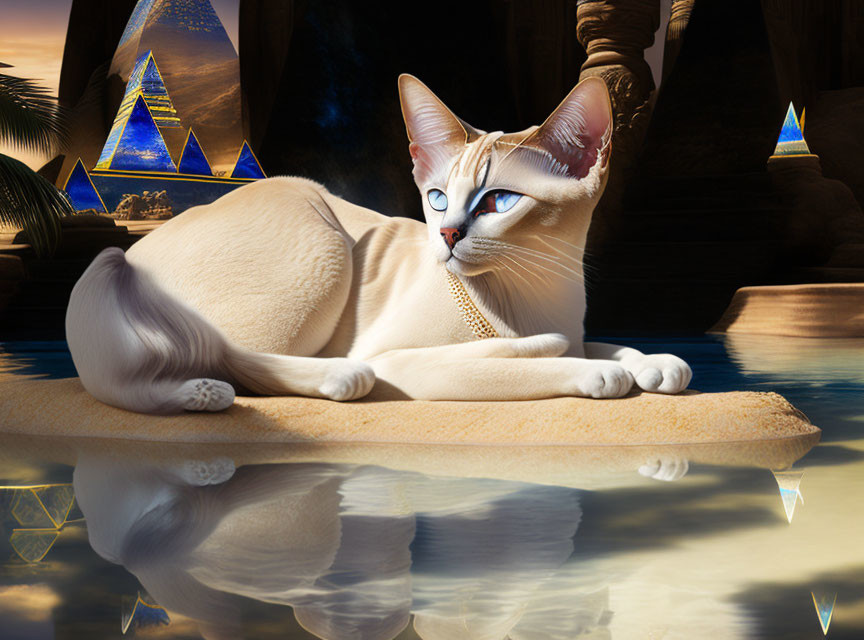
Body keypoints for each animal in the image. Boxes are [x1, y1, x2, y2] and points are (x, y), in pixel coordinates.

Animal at [66, 75, 688, 416]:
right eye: (437, 199)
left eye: (499, 202)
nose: (447, 234)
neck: (539, 292)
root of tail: (126, 255)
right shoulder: (407, 359)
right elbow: (551, 361)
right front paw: (586, 366)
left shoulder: (575, 323)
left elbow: (605, 344)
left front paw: (653, 363)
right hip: (315, 222)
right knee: (235, 358)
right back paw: (334, 378)